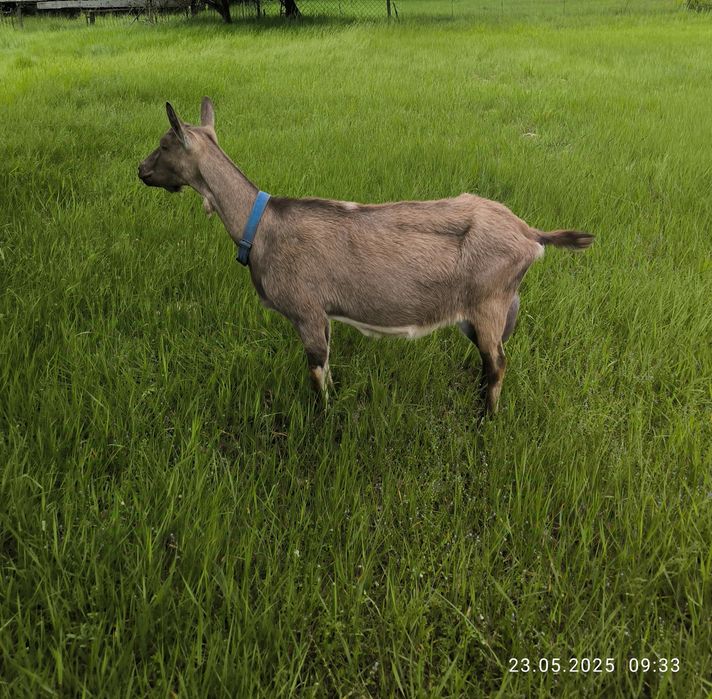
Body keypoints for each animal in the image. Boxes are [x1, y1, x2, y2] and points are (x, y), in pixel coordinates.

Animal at [138, 98, 593, 414]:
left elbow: (316, 371)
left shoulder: (305, 309)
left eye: (163, 144)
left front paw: (323, 418)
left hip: (488, 303)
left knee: (497, 363)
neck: (261, 225)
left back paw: (486, 418)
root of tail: (530, 234)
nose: (140, 170)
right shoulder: (323, 314)